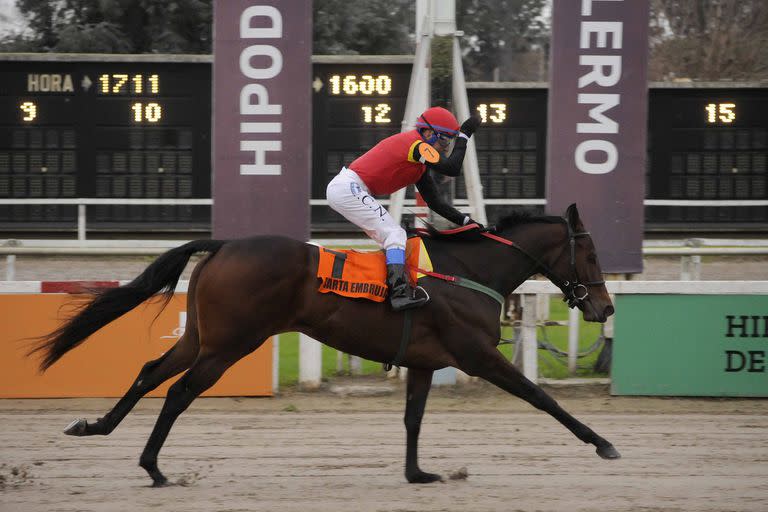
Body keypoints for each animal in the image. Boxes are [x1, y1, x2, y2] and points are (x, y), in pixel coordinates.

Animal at [30, 203, 620, 484]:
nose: (606, 308)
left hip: (202, 336)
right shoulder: (478, 356)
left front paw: (417, 472)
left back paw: (95, 427)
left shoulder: (426, 361)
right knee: (178, 393)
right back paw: (153, 467)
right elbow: (541, 397)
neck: (469, 272)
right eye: (590, 254)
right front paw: (602, 442)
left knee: (151, 370)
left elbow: (413, 418)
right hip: (230, 344)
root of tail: (223, 245)